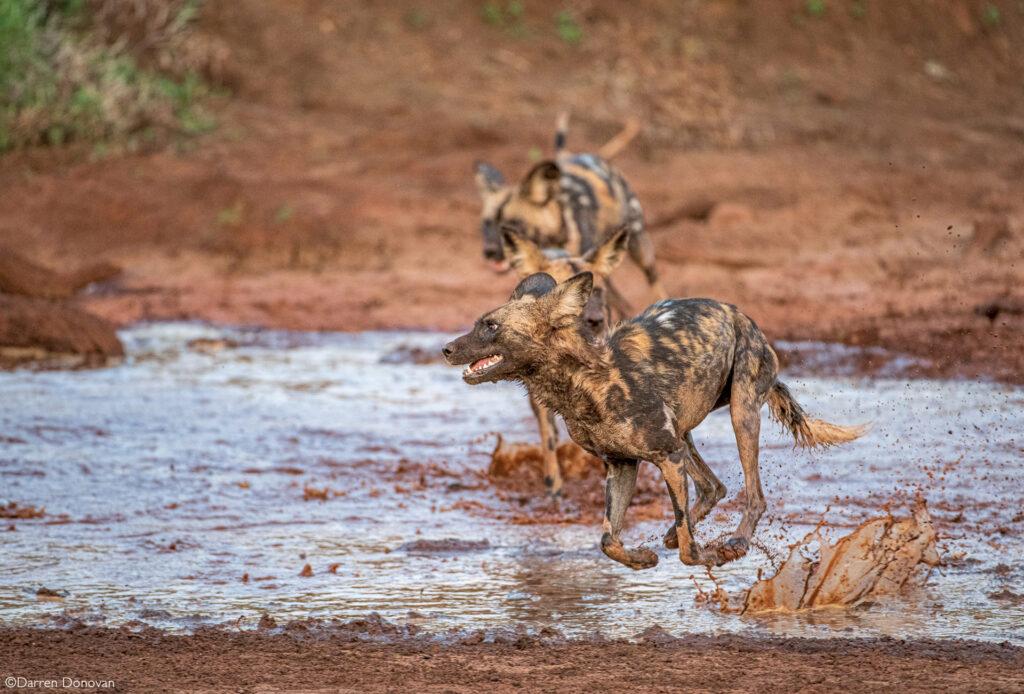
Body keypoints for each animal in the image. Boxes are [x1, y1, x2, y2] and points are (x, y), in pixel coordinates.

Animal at [440, 274, 864, 569]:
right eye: (480, 323)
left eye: (491, 326)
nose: (445, 348)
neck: (585, 381)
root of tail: (738, 313)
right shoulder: (623, 464)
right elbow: (608, 541)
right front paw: (642, 559)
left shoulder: (666, 457)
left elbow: (690, 553)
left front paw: (706, 555)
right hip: (685, 434)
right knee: (714, 486)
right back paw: (674, 536)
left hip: (740, 414)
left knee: (753, 495)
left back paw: (736, 543)